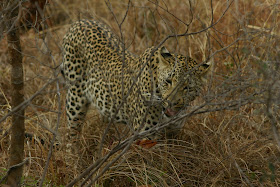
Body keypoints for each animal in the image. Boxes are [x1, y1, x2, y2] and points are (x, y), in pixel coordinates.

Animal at [61, 19, 210, 145]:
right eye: (168, 81)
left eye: (188, 87)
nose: (171, 102)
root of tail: (80, 21)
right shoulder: (145, 136)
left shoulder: (173, 134)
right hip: (75, 101)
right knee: (71, 134)